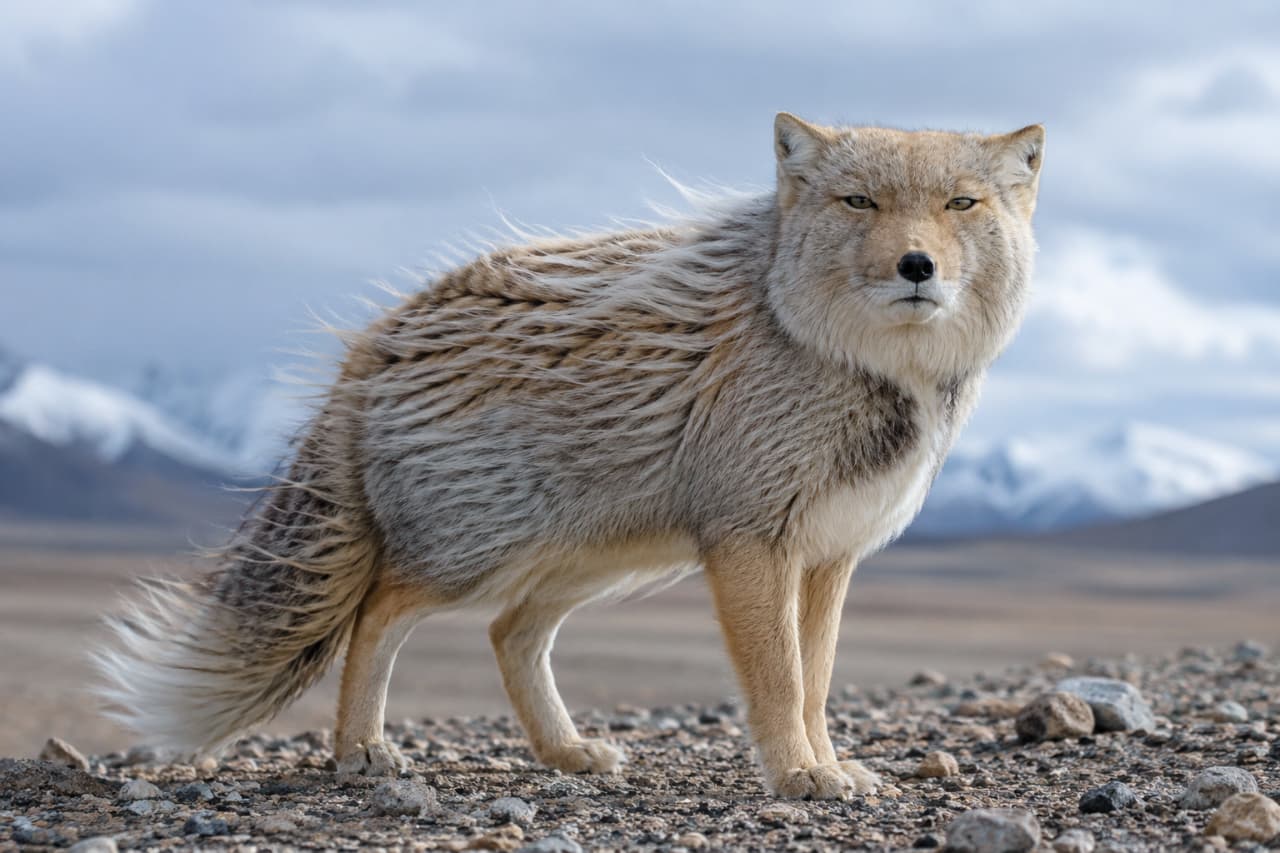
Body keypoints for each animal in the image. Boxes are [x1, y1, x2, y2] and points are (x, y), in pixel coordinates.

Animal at [97, 112, 1044, 800]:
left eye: (960, 205)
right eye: (859, 204)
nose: (916, 265)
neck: (858, 363)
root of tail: (381, 334)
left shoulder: (829, 555)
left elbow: (814, 683)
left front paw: (826, 762)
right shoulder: (751, 544)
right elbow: (779, 682)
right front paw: (799, 774)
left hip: (589, 560)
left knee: (508, 632)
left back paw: (566, 753)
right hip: (475, 557)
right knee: (376, 613)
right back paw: (361, 751)